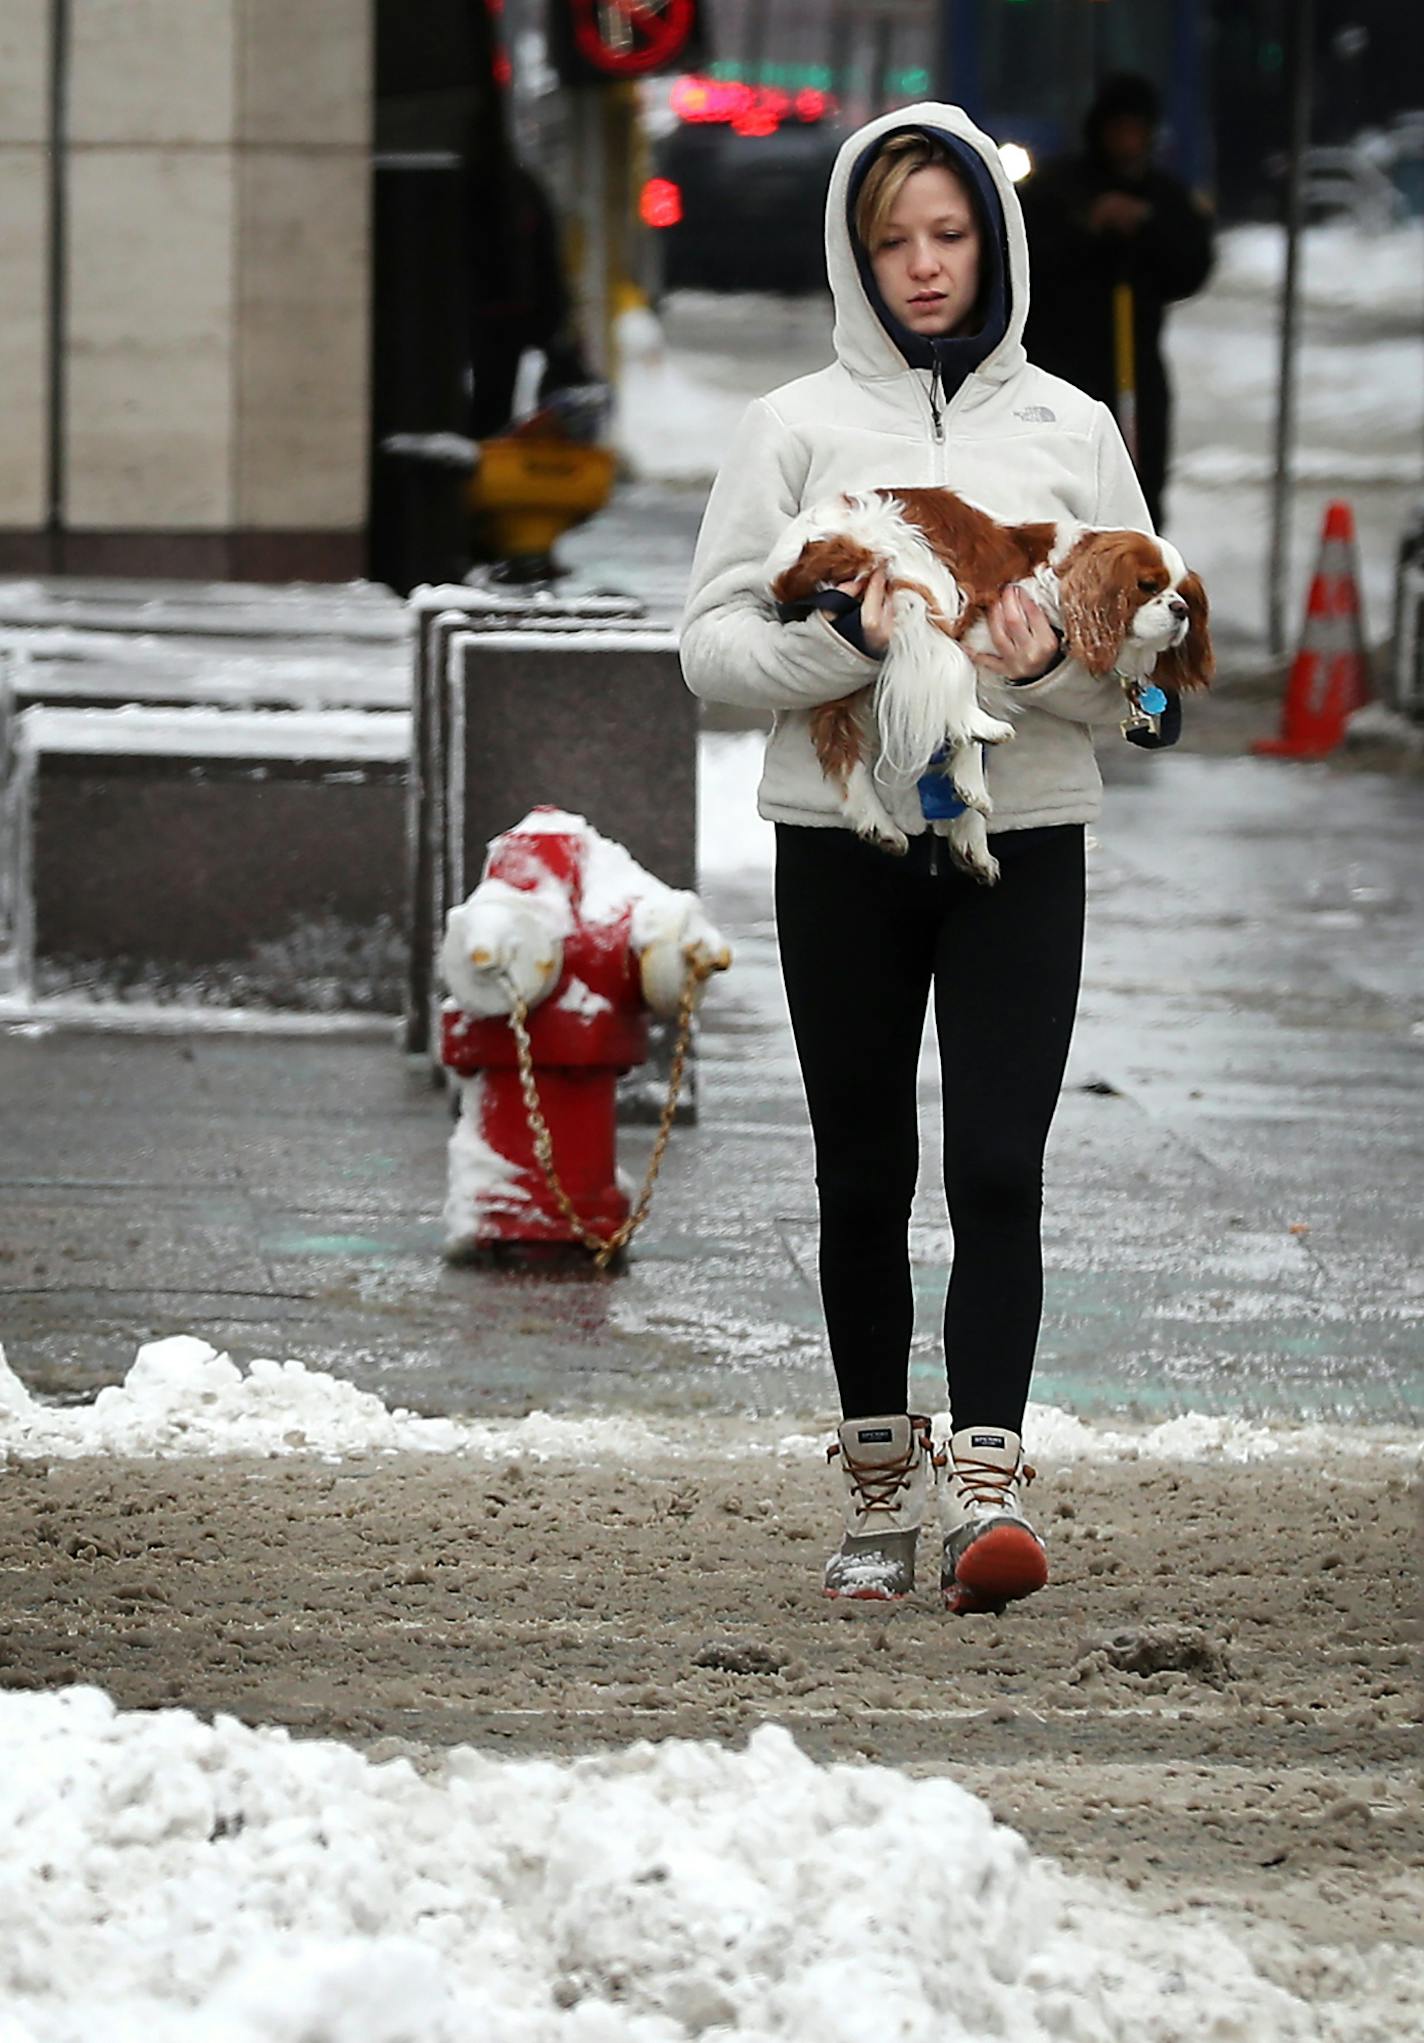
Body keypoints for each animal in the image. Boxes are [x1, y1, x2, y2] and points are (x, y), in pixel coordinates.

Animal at [768, 494, 1209, 886]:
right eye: (1147, 586)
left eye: (1183, 593)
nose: (1180, 609)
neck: (1056, 578)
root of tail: (789, 562)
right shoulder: (978, 641)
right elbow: (963, 715)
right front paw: (972, 782)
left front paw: (972, 840)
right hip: (916, 571)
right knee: (937, 649)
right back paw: (979, 726)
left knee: (837, 738)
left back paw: (876, 822)